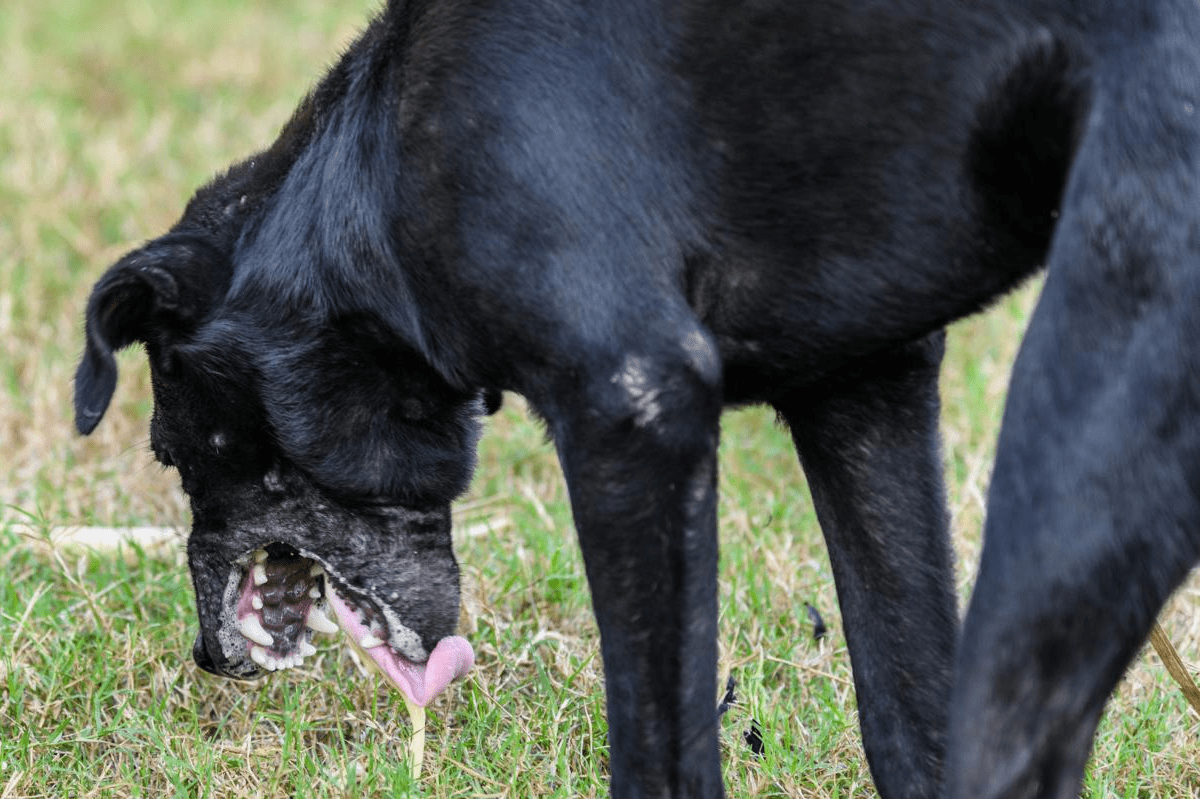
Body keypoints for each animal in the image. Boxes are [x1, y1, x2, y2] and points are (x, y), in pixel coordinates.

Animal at [75, 3, 1200, 791]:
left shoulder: (634, 414)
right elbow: (909, 716)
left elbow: (662, 755)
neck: (375, 177)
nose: (205, 657)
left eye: (171, 453)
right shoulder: (866, 394)